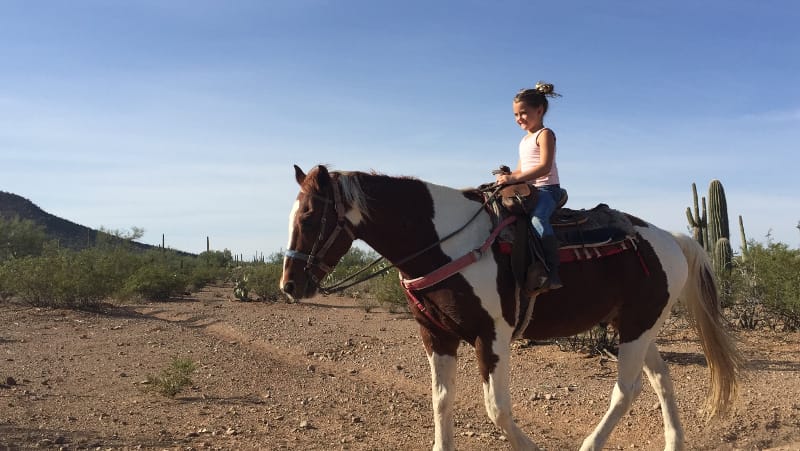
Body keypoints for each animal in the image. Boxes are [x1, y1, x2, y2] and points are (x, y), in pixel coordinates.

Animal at [280, 164, 743, 451]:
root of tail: (672, 238)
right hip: (639, 325)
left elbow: (496, 409)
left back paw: (591, 444)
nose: (290, 285)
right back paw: (674, 441)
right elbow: (441, 399)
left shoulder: (493, 336)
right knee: (661, 378)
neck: (446, 243)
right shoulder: (437, 335)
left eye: (309, 216)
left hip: (635, 328)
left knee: (626, 390)